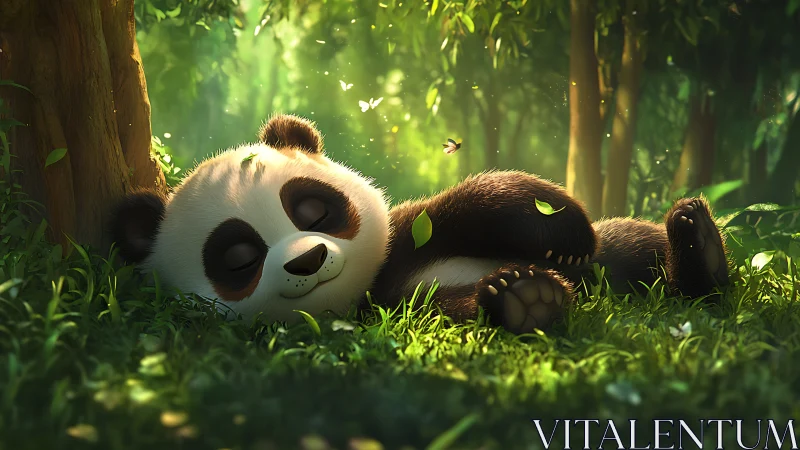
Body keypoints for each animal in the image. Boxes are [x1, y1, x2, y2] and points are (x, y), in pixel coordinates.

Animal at [110, 114, 730, 334]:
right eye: (239, 259)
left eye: (313, 210)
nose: (309, 259)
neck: (368, 286)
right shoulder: (381, 314)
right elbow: (443, 309)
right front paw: (527, 298)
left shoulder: (404, 235)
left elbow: (468, 204)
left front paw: (562, 229)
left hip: (624, 254)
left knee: (631, 244)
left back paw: (698, 243)